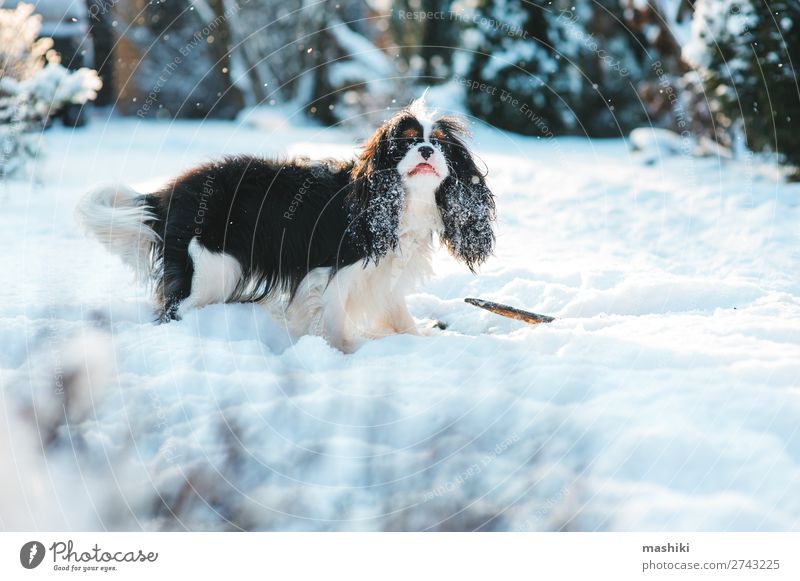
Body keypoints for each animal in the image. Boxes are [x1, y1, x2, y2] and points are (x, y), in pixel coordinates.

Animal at [79, 98, 494, 348]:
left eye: (439, 144)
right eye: (405, 143)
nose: (425, 150)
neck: (397, 200)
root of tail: (169, 193)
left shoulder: (382, 271)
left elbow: (397, 311)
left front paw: (417, 337)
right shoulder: (334, 272)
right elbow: (335, 318)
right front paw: (343, 353)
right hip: (212, 269)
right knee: (175, 310)